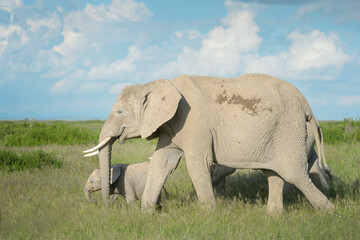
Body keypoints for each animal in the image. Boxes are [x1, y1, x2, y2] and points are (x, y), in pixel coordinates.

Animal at [83, 73, 334, 212]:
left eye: (119, 111)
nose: (106, 207)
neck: (157, 83)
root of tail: (306, 104)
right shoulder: (172, 126)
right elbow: (162, 162)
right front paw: (147, 212)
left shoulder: (193, 121)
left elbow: (197, 164)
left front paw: (210, 214)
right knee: (274, 174)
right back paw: (273, 216)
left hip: (288, 129)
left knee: (293, 173)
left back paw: (330, 212)